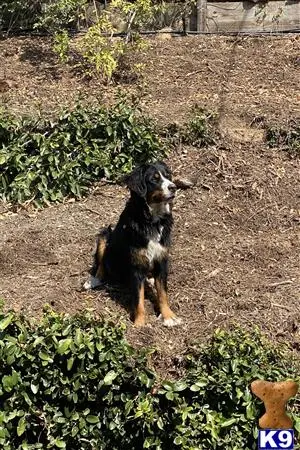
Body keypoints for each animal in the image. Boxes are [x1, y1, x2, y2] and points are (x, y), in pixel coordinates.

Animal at [84, 161, 182, 326]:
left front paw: (169, 316)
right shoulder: (136, 265)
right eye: (154, 179)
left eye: (168, 175)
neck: (152, 222)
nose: (173, 187)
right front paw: (140, 323)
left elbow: (163, 293)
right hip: (105, 236)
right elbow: (138, 299)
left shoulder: (162, 260)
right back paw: (93, 281)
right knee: (102, 265)